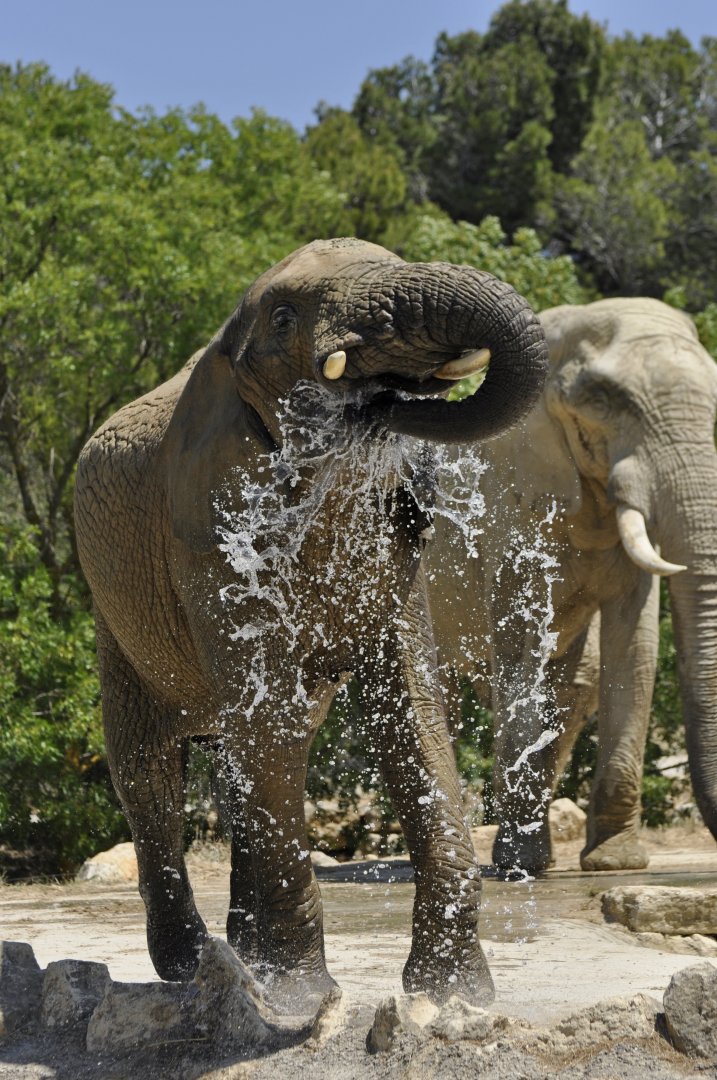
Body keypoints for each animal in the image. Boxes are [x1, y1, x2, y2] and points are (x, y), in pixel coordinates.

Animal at [74, 237, 548, 1013]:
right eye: (285, 318)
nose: (378, 404)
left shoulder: (391, 553)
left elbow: (411, 708)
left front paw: (455, 999)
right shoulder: (208, 530)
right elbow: (270, 723)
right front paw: (299, 1001)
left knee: (244, 760)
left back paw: (241, 957)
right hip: (115, 621)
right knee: (149, 773)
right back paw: (191, 966)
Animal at [428, 297, 717, 875]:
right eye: (603, 399)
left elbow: (636, 650)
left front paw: (615, 863)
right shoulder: (511, 505)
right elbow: (519, 652)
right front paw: (517, 869)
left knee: (575, 686)